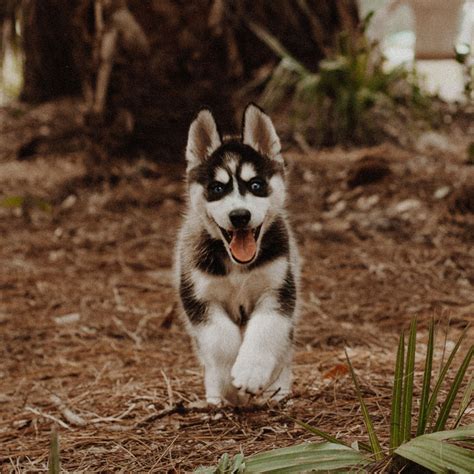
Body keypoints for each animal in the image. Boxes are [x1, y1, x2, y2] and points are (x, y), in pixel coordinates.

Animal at [174, 103, 300, 404]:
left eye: (255, 185)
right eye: (217, 188)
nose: (240, 216)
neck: (238, 267)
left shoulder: (278, 291)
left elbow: (264, 330)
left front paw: (250, 372)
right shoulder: (199, 297)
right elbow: (220, 340)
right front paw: (230, 382)